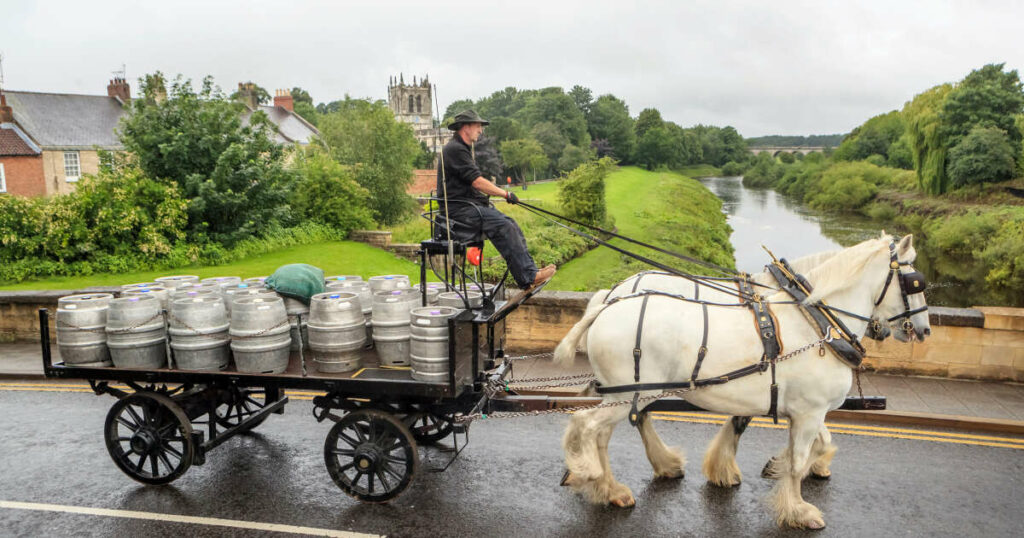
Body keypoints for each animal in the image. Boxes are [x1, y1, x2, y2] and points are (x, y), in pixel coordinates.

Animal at [557, 234, 933, 528]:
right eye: (916, 282)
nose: (925, 330)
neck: (817, 322)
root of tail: (606, 303)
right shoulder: (809, 410)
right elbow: (799, 458)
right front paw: (798, 509)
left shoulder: (797, 406)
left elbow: (812, 442)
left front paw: (762, 467)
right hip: (632, 392)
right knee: (587, 424)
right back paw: (592, 472)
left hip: (625, 394)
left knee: (605, 432)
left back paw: (613, 487)